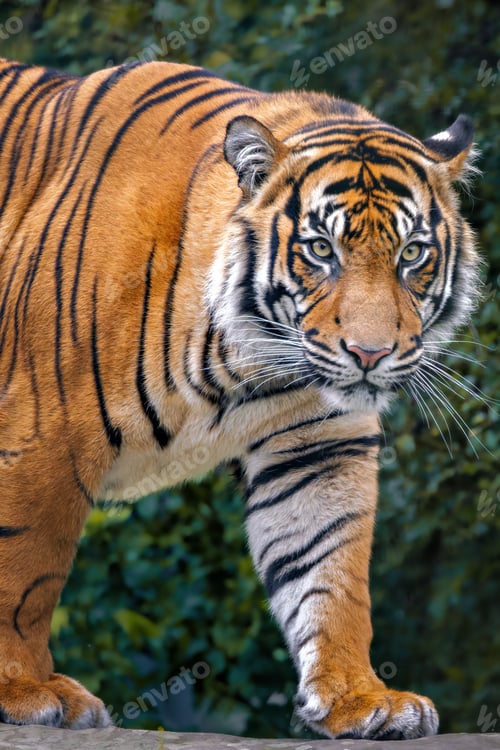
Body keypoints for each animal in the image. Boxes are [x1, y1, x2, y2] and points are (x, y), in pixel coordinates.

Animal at [0, 57, 479, 739]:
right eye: (321, 250)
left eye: (412, 254)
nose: (370, 354)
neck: (243, 362)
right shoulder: (42, 428)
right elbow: (24, 572)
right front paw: (25, 689)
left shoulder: (317, 447)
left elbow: (332, 572)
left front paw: (361, 698)